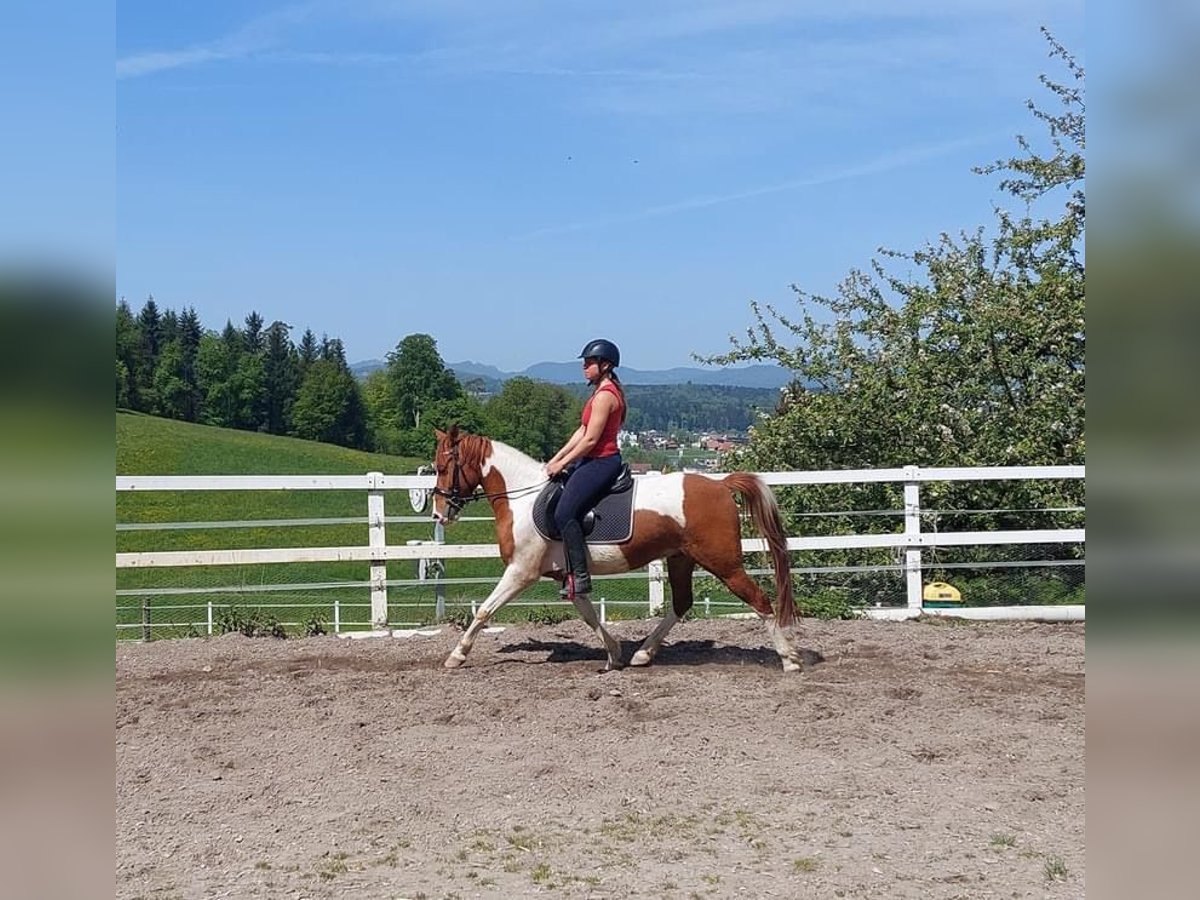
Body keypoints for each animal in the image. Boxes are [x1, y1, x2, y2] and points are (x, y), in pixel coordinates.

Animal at [432, 427, 806, 672]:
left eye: (442, 467)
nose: (438, 513)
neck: (522, 498)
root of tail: (720, 484)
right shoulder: (565, 573)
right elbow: (588, 613)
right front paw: (614, 654)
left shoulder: (521, 571)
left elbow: (484, 611)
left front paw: (456, 656)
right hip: (681, 559)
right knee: (681, 603)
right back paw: (644, 654)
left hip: (724, 564)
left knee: (760, 601)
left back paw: (789, 660)